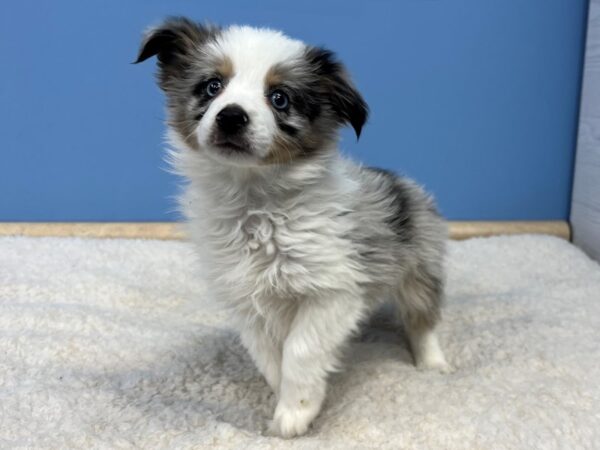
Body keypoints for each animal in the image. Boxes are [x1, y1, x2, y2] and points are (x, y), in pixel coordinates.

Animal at [134, 18, 448, 440]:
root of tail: (405, 183)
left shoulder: (332, 292)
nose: (231, 116)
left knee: (421, 319)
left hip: (420, 266)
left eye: (279, 98)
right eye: (212, 86)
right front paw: (286, 404)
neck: (257, 203)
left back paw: (432, 364)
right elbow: (271, 358)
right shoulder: (247, 303)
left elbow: (300, 350)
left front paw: (296, 415)